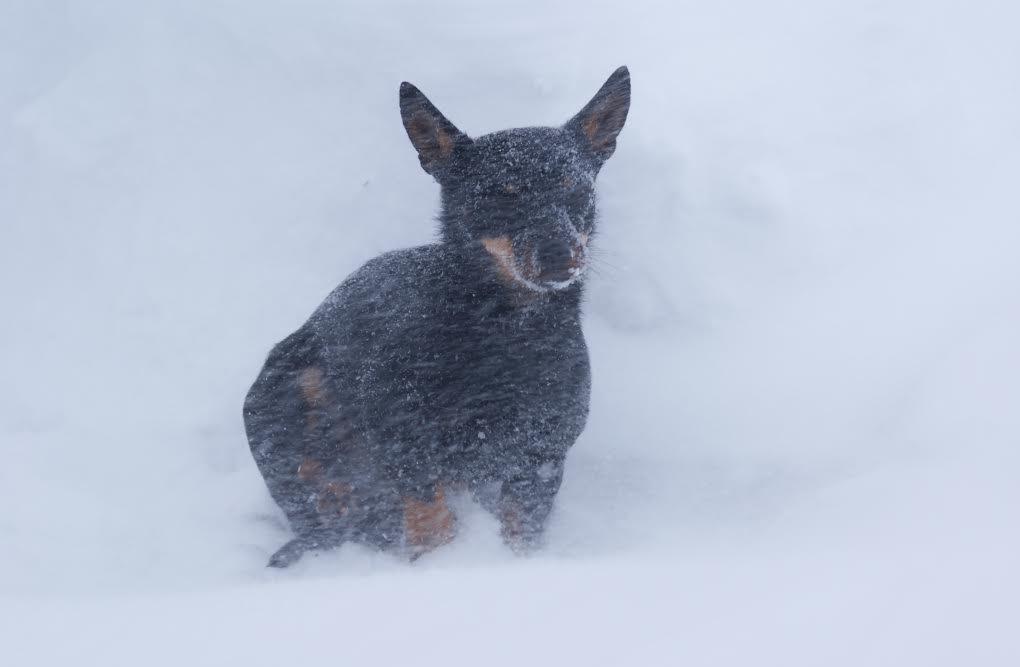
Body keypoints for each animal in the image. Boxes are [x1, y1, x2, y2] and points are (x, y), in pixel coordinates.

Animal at [244, 67, 628, 571]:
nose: (559, 255)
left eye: (576, 190)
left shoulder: (541, 453)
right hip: (282, 394)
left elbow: (520, 530)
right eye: (497, 199)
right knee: (318, 505)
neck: (506, 335)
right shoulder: (403, 440)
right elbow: (432, 517)